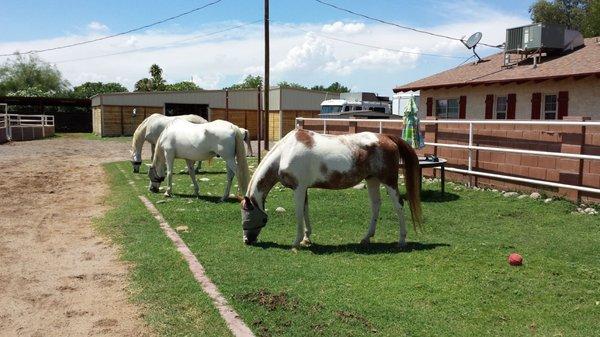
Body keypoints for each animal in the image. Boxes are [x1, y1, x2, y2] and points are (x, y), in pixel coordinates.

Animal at [240, 127, 422, 248]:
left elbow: (298, 213)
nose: (247, 240)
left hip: (389, 181)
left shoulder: (298, 188)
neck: (285, 152)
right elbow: (305, 211)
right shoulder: (304, 189)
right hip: (372, 180)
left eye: (249, 216)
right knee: (376, 205)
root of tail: (387, 137)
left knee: (399, 205)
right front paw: (306, 238)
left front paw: (296, 242)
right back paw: (366, 237)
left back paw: (401, 240)